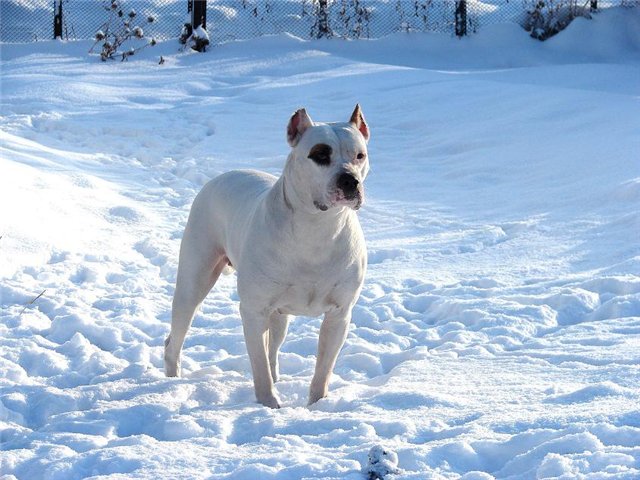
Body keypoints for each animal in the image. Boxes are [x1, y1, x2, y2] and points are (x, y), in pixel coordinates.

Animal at [164, 105, 370, 408]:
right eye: (320, 155)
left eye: (359, 155)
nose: (350, 180)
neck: (317, 227)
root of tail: (222, 176)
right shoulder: (253, 311)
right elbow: (258, 365)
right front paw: (269, 405)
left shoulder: (339, 315)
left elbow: (323, 368)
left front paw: (317, 404)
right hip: (193, 283)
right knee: (175, 338)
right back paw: (170, 382)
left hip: (278, 314)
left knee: (273, 348)